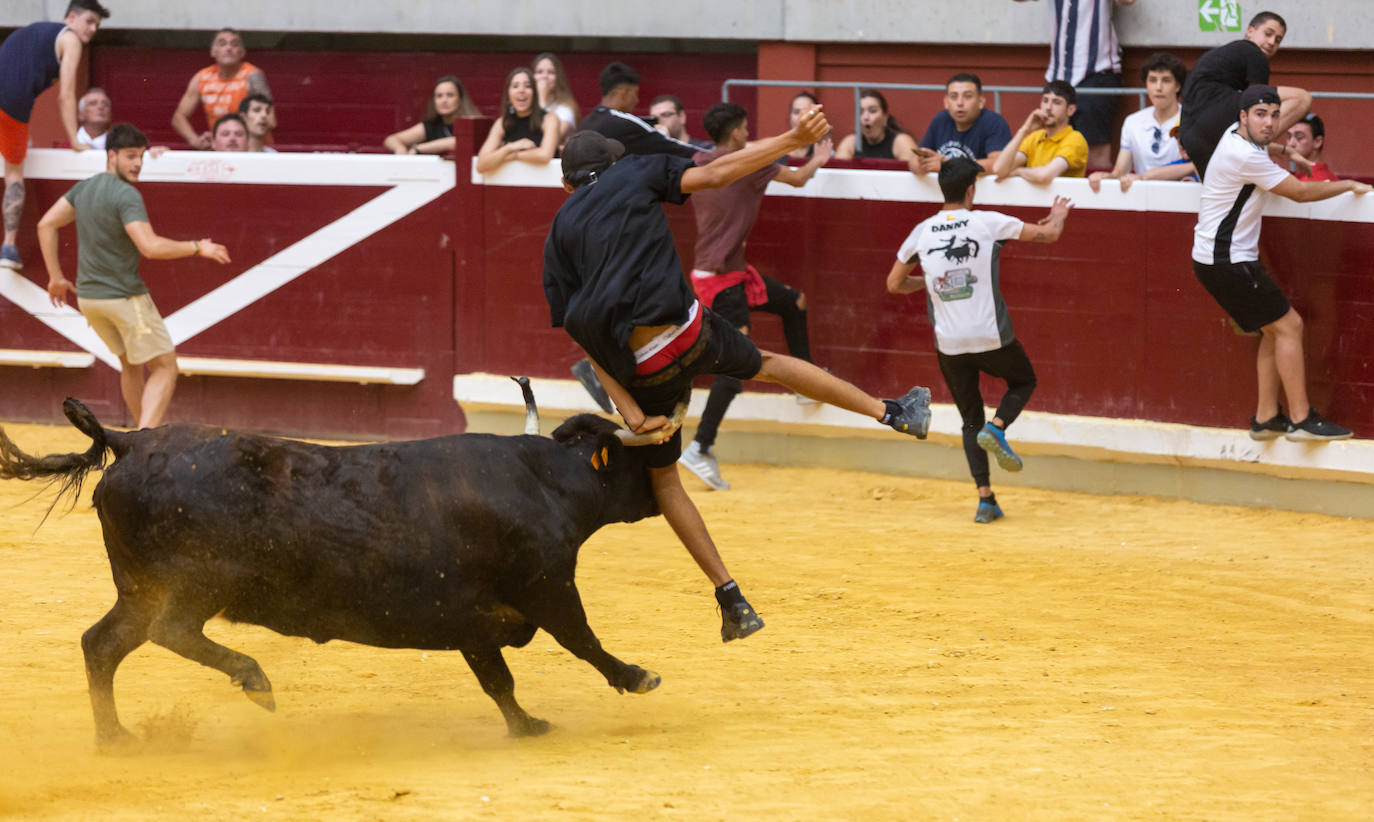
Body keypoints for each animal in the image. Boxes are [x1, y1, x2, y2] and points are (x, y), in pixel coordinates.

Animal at [0, 398, 665, 747]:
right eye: (639, 462)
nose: (670, 477)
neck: (543, 481)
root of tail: (132, 441)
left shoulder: (471, 624)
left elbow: (498, 680)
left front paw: (526, 726)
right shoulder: (548, 588)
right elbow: (583, 641)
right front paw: (638, 677)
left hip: (138, 591)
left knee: (102, 644)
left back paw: (117, 737)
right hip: (193, 585)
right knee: (168, 632)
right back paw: (254, 680)